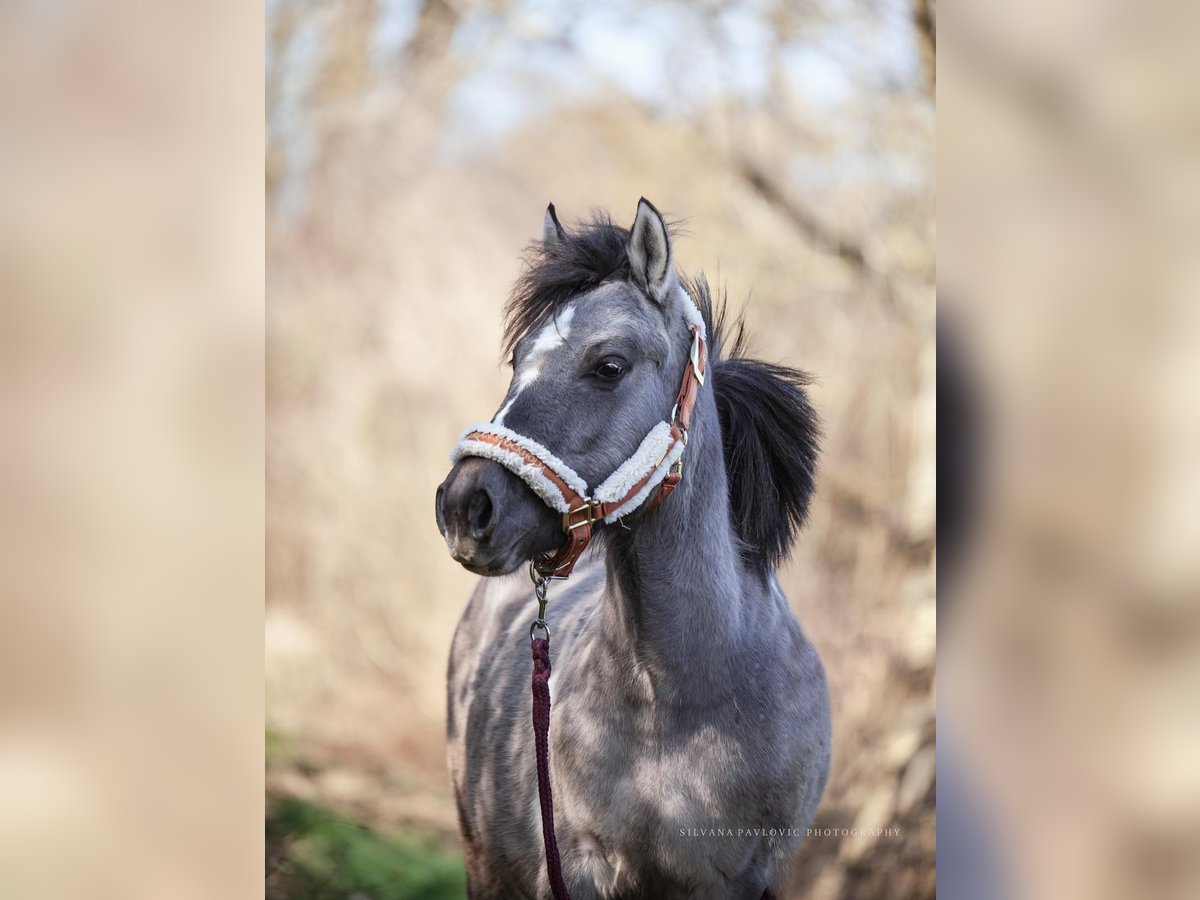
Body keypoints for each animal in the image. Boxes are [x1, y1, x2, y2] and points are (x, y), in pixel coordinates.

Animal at [436, 200, 830, 897]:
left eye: (609, 365)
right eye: (516, 362)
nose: (464, 507)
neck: (681, 701)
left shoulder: (743, 879)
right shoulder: (575, 867)